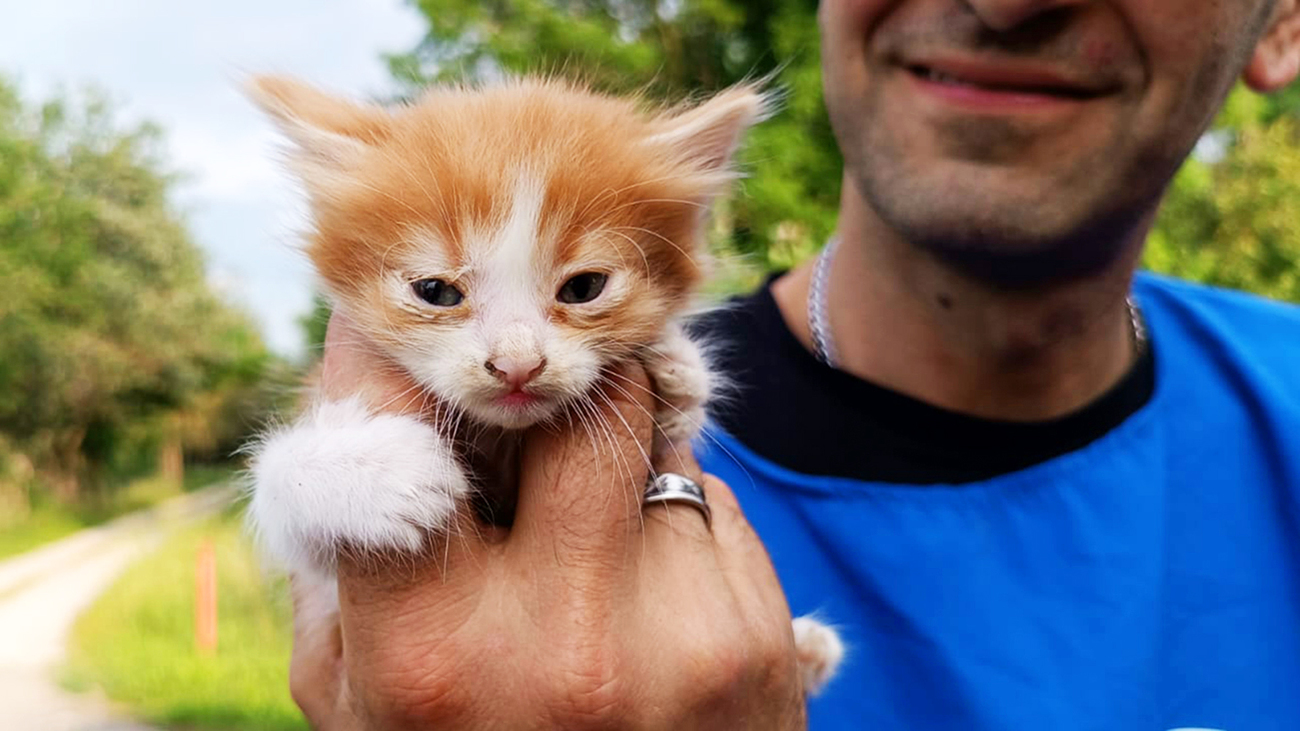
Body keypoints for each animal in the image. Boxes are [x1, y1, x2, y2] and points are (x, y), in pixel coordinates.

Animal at [248, 74, 847, 691]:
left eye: (583, 288)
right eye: (436, 291)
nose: (517, 364)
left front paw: (679, 374)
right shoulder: (324, 596)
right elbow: (289, 513)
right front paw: (372, 470)